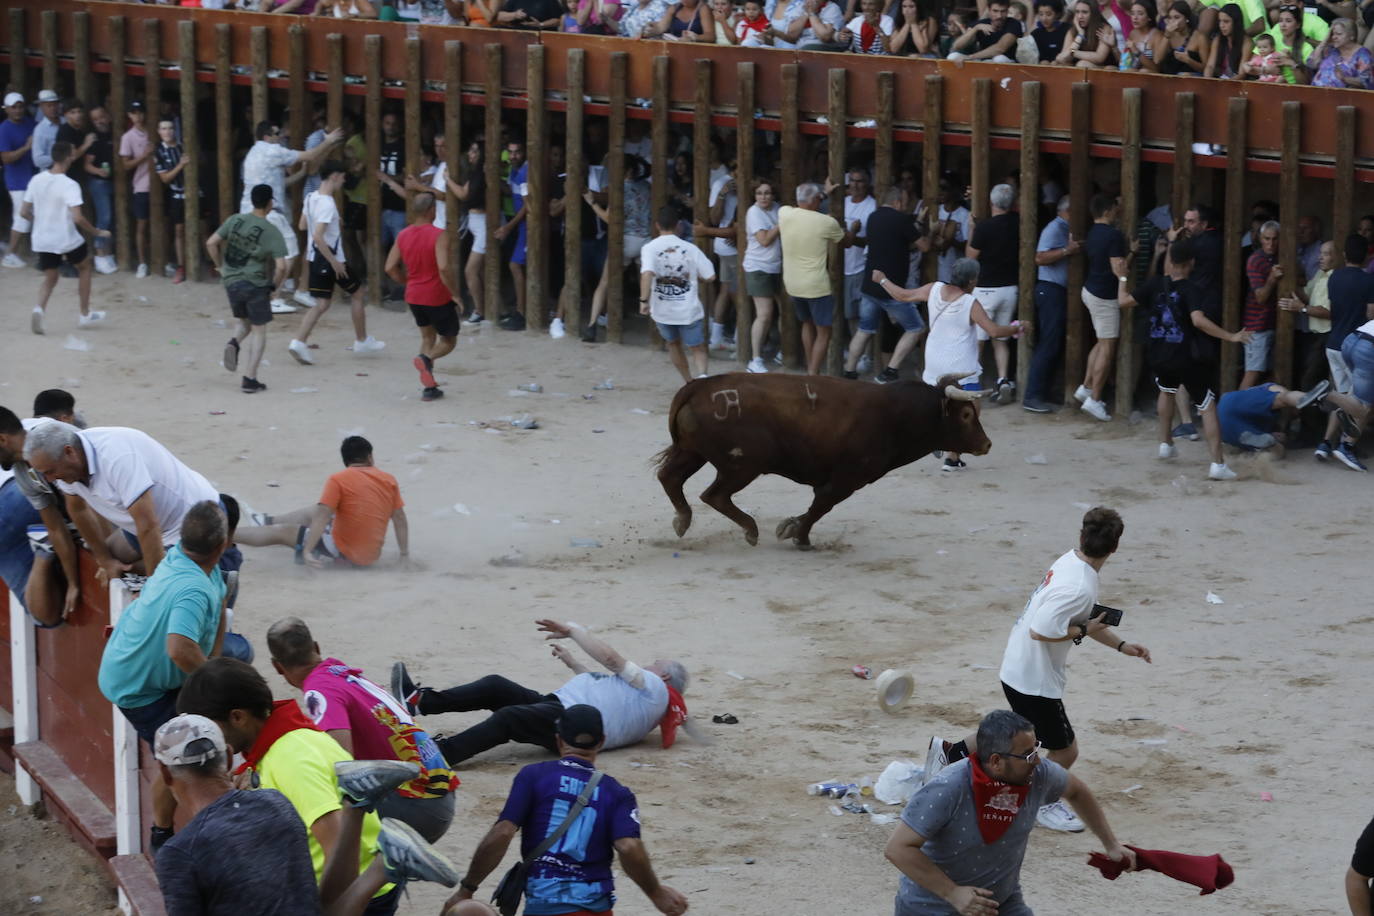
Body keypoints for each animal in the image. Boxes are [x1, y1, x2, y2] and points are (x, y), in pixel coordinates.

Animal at [654, 373, 989, 549]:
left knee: (670, 478)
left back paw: (682, 521)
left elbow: (816, 506)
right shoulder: (846, 479)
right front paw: (800, 537)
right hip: (742, 466)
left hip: (692, 452)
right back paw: (750, 530)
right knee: (714, 495)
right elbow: (821, 506)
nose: (986, 444)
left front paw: (790, 527)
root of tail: (697, 386)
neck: (896, 414)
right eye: (966, 414)